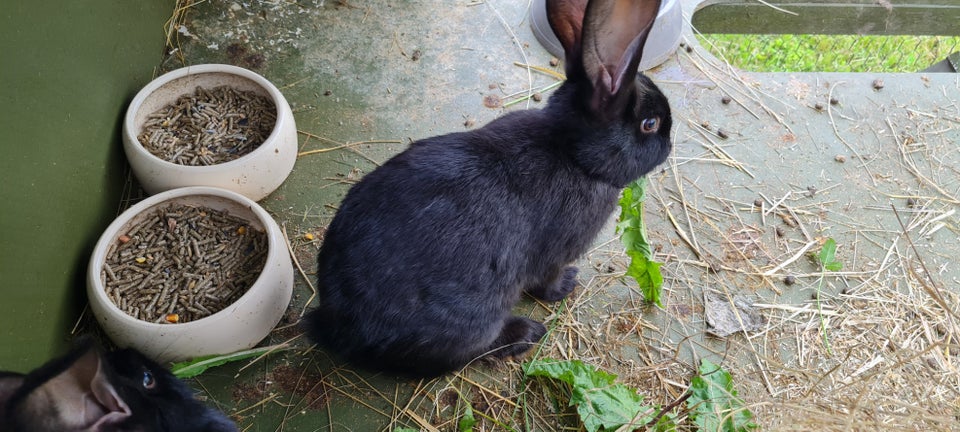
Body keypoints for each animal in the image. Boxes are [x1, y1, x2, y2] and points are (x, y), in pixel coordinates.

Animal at [304, 0, 672, 376]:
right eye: (650, 123)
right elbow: (547, 282)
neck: (573, 152)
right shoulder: (554, 254)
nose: (670, 144)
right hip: (475, 318)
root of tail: (339, 329)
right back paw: (525, 333)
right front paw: (566, 285)